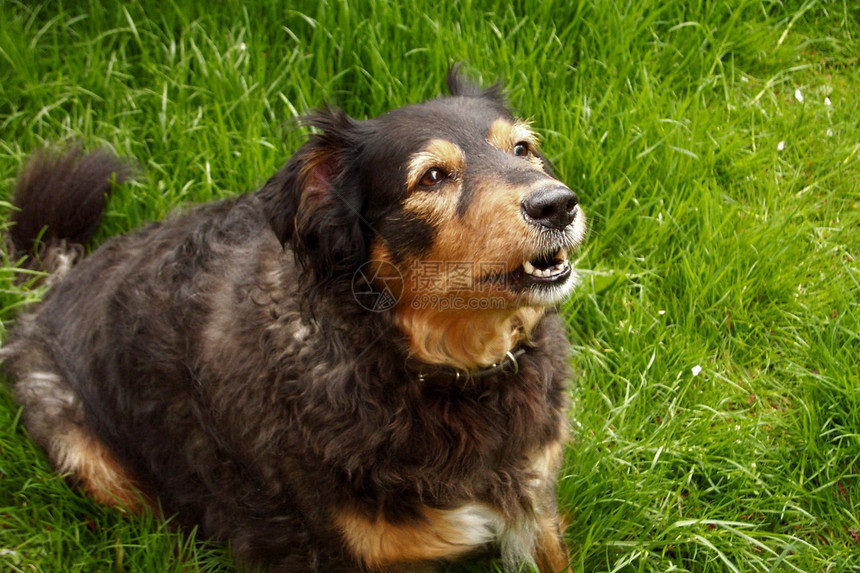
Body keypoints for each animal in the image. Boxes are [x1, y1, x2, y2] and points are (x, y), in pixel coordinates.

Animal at [0, 69, 588, 568]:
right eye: (432, 177)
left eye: (523, 149)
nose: (558, 204)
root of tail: (49, 288)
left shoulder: (532, 500)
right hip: (88, 455)